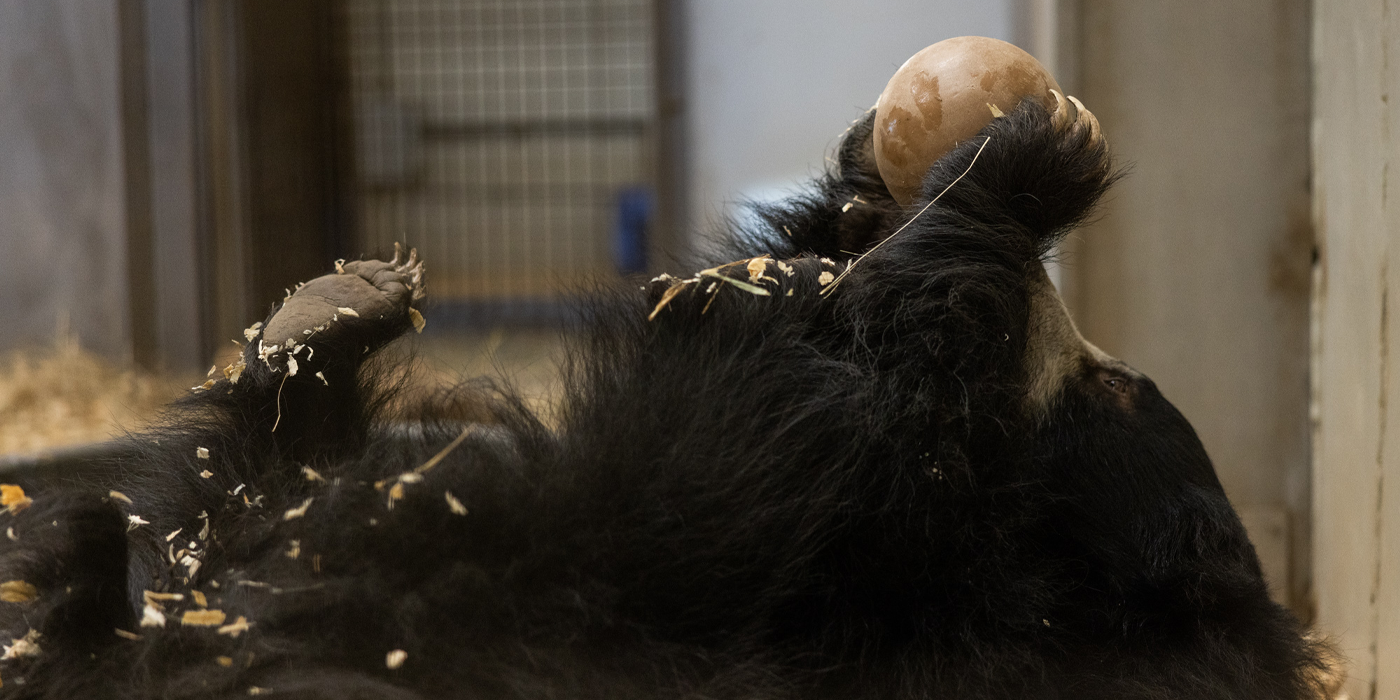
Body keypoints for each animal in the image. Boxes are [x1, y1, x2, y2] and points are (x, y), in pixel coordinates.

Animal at [0, 95, 1332, 697]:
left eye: (1115, 389)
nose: (1077, 327)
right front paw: (860, 198)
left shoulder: (849, 581)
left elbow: (816, 405)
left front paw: (1016, 172)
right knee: (230, 485)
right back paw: (328, 311)